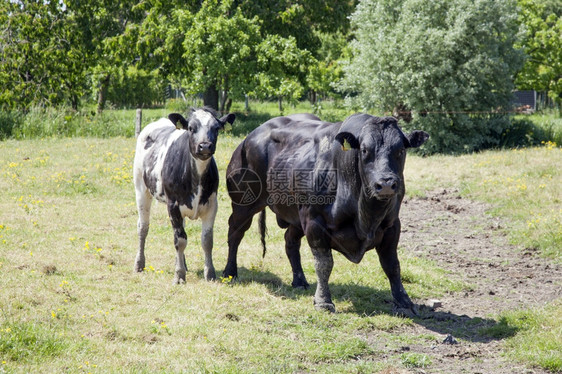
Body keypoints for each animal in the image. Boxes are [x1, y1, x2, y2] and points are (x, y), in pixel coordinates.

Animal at [133, 108, 234, 284]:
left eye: (216, 128)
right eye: (191, 128)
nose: (205, 146)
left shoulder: (212, 205)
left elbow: (207, 240)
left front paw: (210, 273)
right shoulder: (173, 205)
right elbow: (180, 240)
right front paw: (179, 275)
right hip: (141, 188)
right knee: (143, 227)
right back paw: (139, 263)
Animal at [223, 113, 428, 312]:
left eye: (401, 150)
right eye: (364, 150)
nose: (385, 184)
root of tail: (250, 137)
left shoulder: (392, 225)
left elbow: (392, 264)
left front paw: (404, 301)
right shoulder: (314, 222)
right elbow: (324, 264)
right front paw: (323, 301)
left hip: (296, 216)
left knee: (290, 241)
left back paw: (299, 280)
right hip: (244, 204)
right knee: (235, 234)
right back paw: (229, 272)